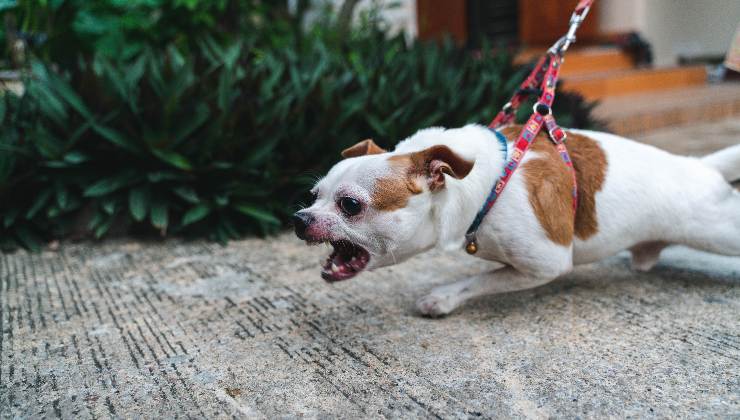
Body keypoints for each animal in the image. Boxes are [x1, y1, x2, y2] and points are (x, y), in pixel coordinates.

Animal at [292, 124, 740, 316]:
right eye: (313, 197)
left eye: (350, 205)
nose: (299, 218)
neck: (485, 185)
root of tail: (700, 166)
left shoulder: (546, 263)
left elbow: (479, 279)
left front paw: (442, 298)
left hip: (717, 231)